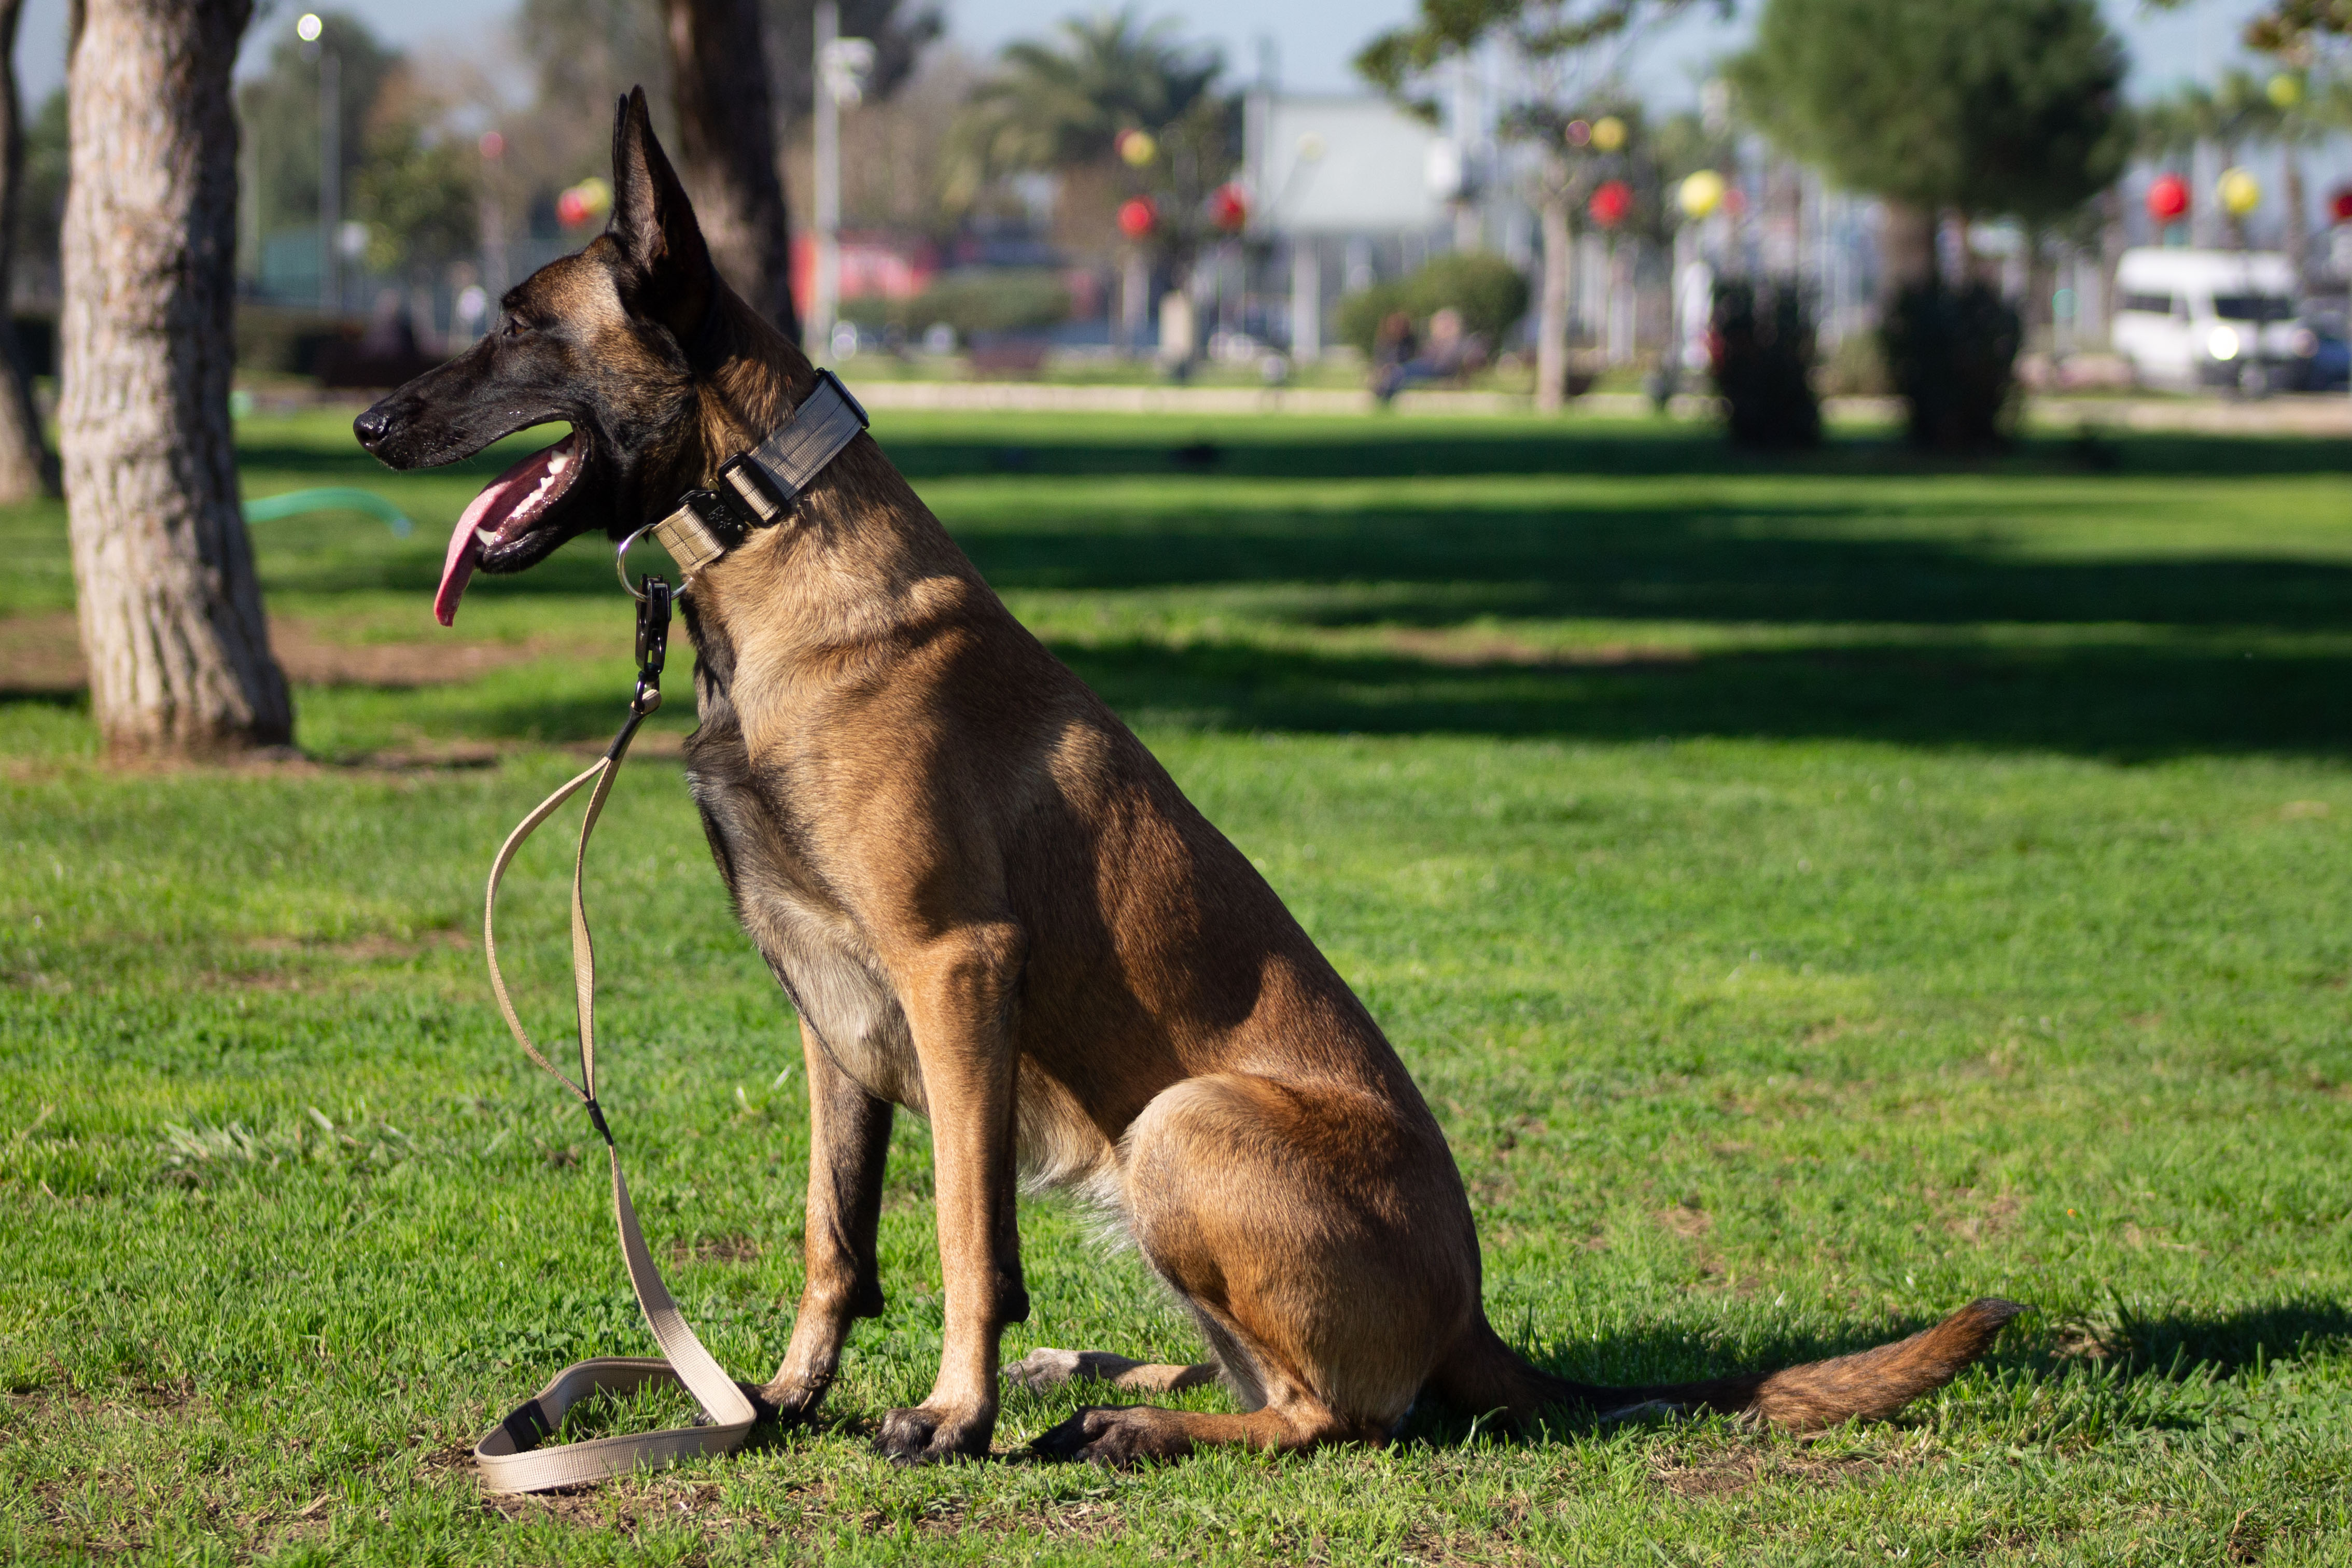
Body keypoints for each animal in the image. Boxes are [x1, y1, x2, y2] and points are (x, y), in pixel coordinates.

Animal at [357, 95, 2013, 1476]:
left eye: (518, 326)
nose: (372, 422)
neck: (773, 533)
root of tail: (1474, 1312)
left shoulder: (955, 967)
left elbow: (964, 1235)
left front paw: (949, 1414)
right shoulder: (830, 1010)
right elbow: (838, 1237)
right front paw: (775, 1400)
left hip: (1182, 1124)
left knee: (1339, 1416)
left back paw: (1120, 1422)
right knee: (1275, 1383)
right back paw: (1119, 1385)